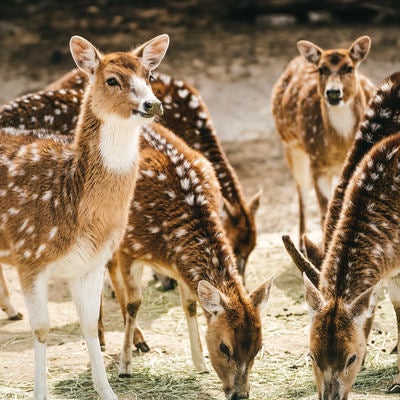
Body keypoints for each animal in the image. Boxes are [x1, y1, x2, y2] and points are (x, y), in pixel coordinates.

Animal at [0, 32, 169, 400]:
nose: (152, 104)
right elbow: (42, 329)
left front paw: (108, 391)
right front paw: (39, 393)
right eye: (112, 79)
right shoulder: (29, 255)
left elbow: (90, 325)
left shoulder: (91, 262)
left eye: (149, 75)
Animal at [270, 35, 376, 253]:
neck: (341, 143)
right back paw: (301, 242)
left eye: (349, 67)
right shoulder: (317, 161)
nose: (333, 92)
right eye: (322, 69)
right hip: (292, 147)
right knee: (301, 191)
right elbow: (324, 209)